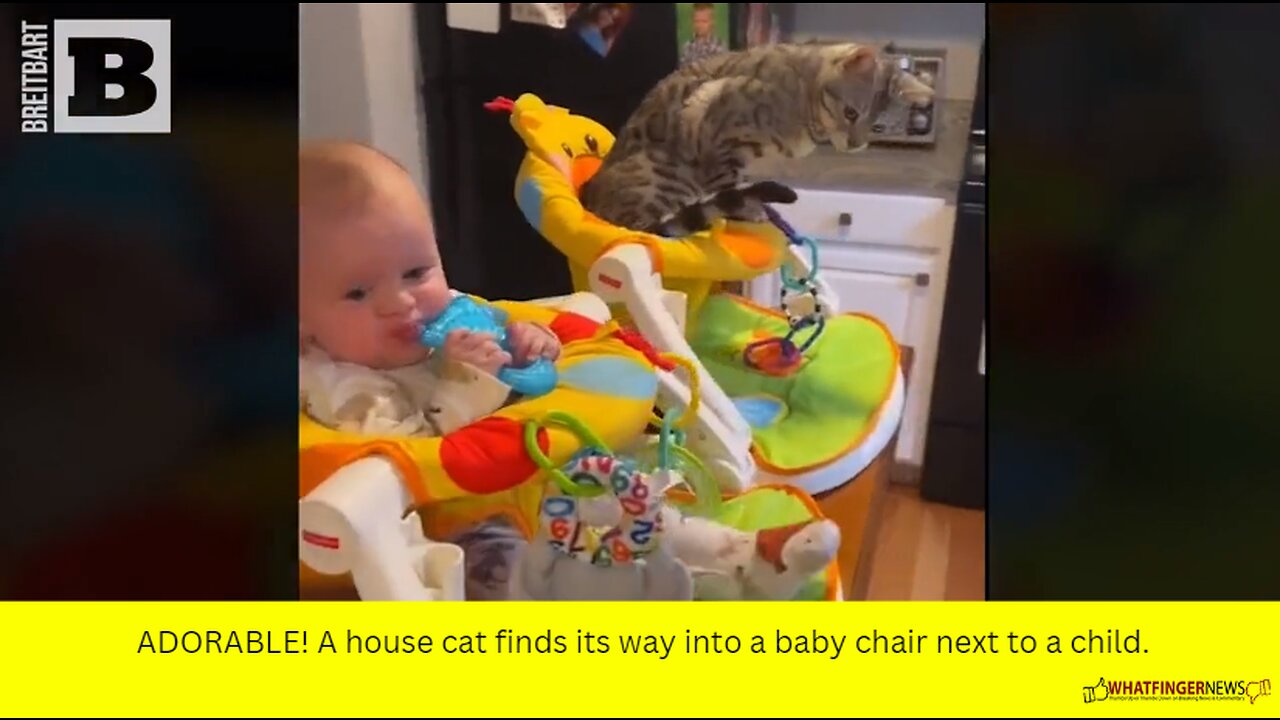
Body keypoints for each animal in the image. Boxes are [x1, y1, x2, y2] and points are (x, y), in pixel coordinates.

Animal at [586, 41, 936, 235]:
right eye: (851, 113)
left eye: (876, 127)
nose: (854, 144)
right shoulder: (715, 126)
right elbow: (727, 186)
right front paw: (748, 210)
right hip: (664, 176)